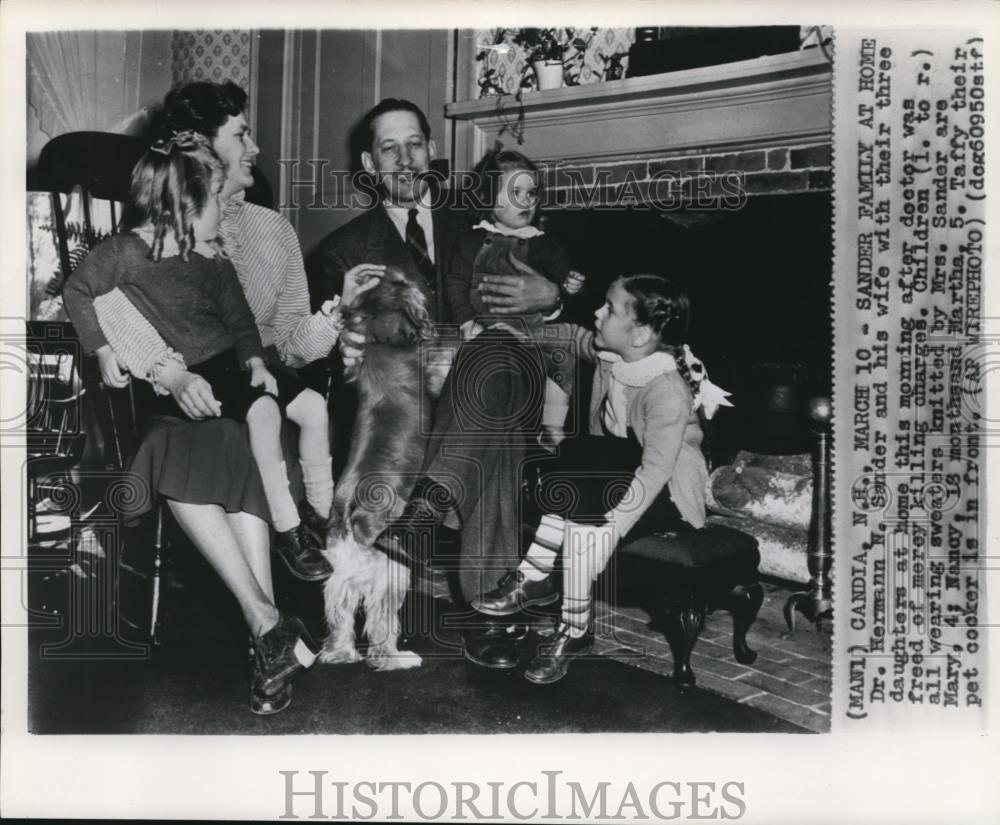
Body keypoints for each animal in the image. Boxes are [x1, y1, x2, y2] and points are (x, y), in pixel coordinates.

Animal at [320, 268, 450, 668]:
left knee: (341, 618)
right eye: (403, 281)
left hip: (343, 575)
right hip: (394, 572)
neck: (378, 342)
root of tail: (350, 513)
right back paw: (398, 659)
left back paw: (340, 653)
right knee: (379, 631)